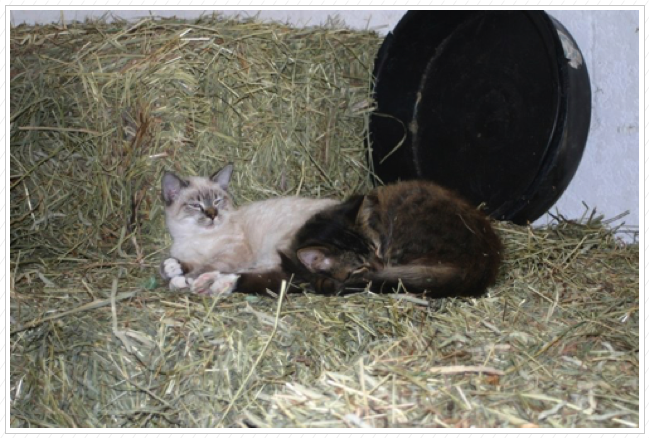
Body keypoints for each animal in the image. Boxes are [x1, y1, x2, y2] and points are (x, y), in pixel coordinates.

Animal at [159, 163, 336, 294]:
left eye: (217, 202)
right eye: (196, 205)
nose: (212, 215)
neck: (196, 236)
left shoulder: (234, 251)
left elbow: (208, 265)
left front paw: (185, 278)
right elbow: (189, 263)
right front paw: (172, 267)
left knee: (286, 276)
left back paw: (216, 283)